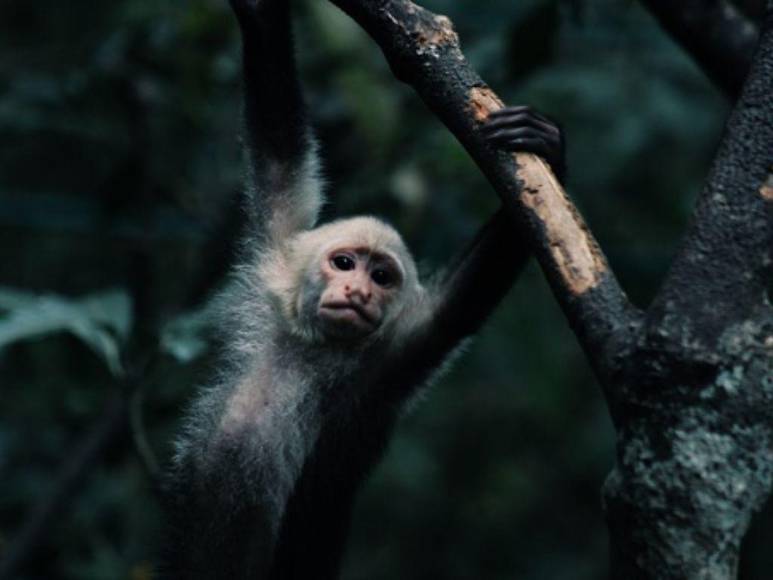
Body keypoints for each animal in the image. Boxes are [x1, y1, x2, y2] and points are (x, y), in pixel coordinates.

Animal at [160, 0, 566, 578]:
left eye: (382, 277)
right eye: (345, 263)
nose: (358, 292)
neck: (314, 356)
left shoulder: (391, 356)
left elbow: (456, 311)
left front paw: (547, 148)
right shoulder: (278, 264)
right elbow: (281, 157)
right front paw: (263, 12)